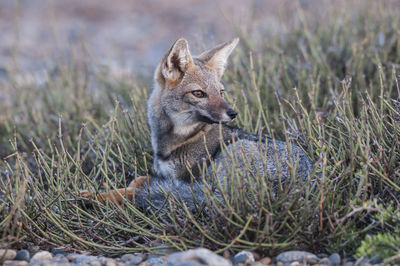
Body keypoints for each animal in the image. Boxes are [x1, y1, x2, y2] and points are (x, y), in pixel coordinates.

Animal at [80, 38, 312, 212]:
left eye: (221, 92)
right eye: (199, 93)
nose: (233, 113)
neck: (173, 144)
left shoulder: (188, 180)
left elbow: (134, 186)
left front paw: (94, 194)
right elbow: (141, 180)